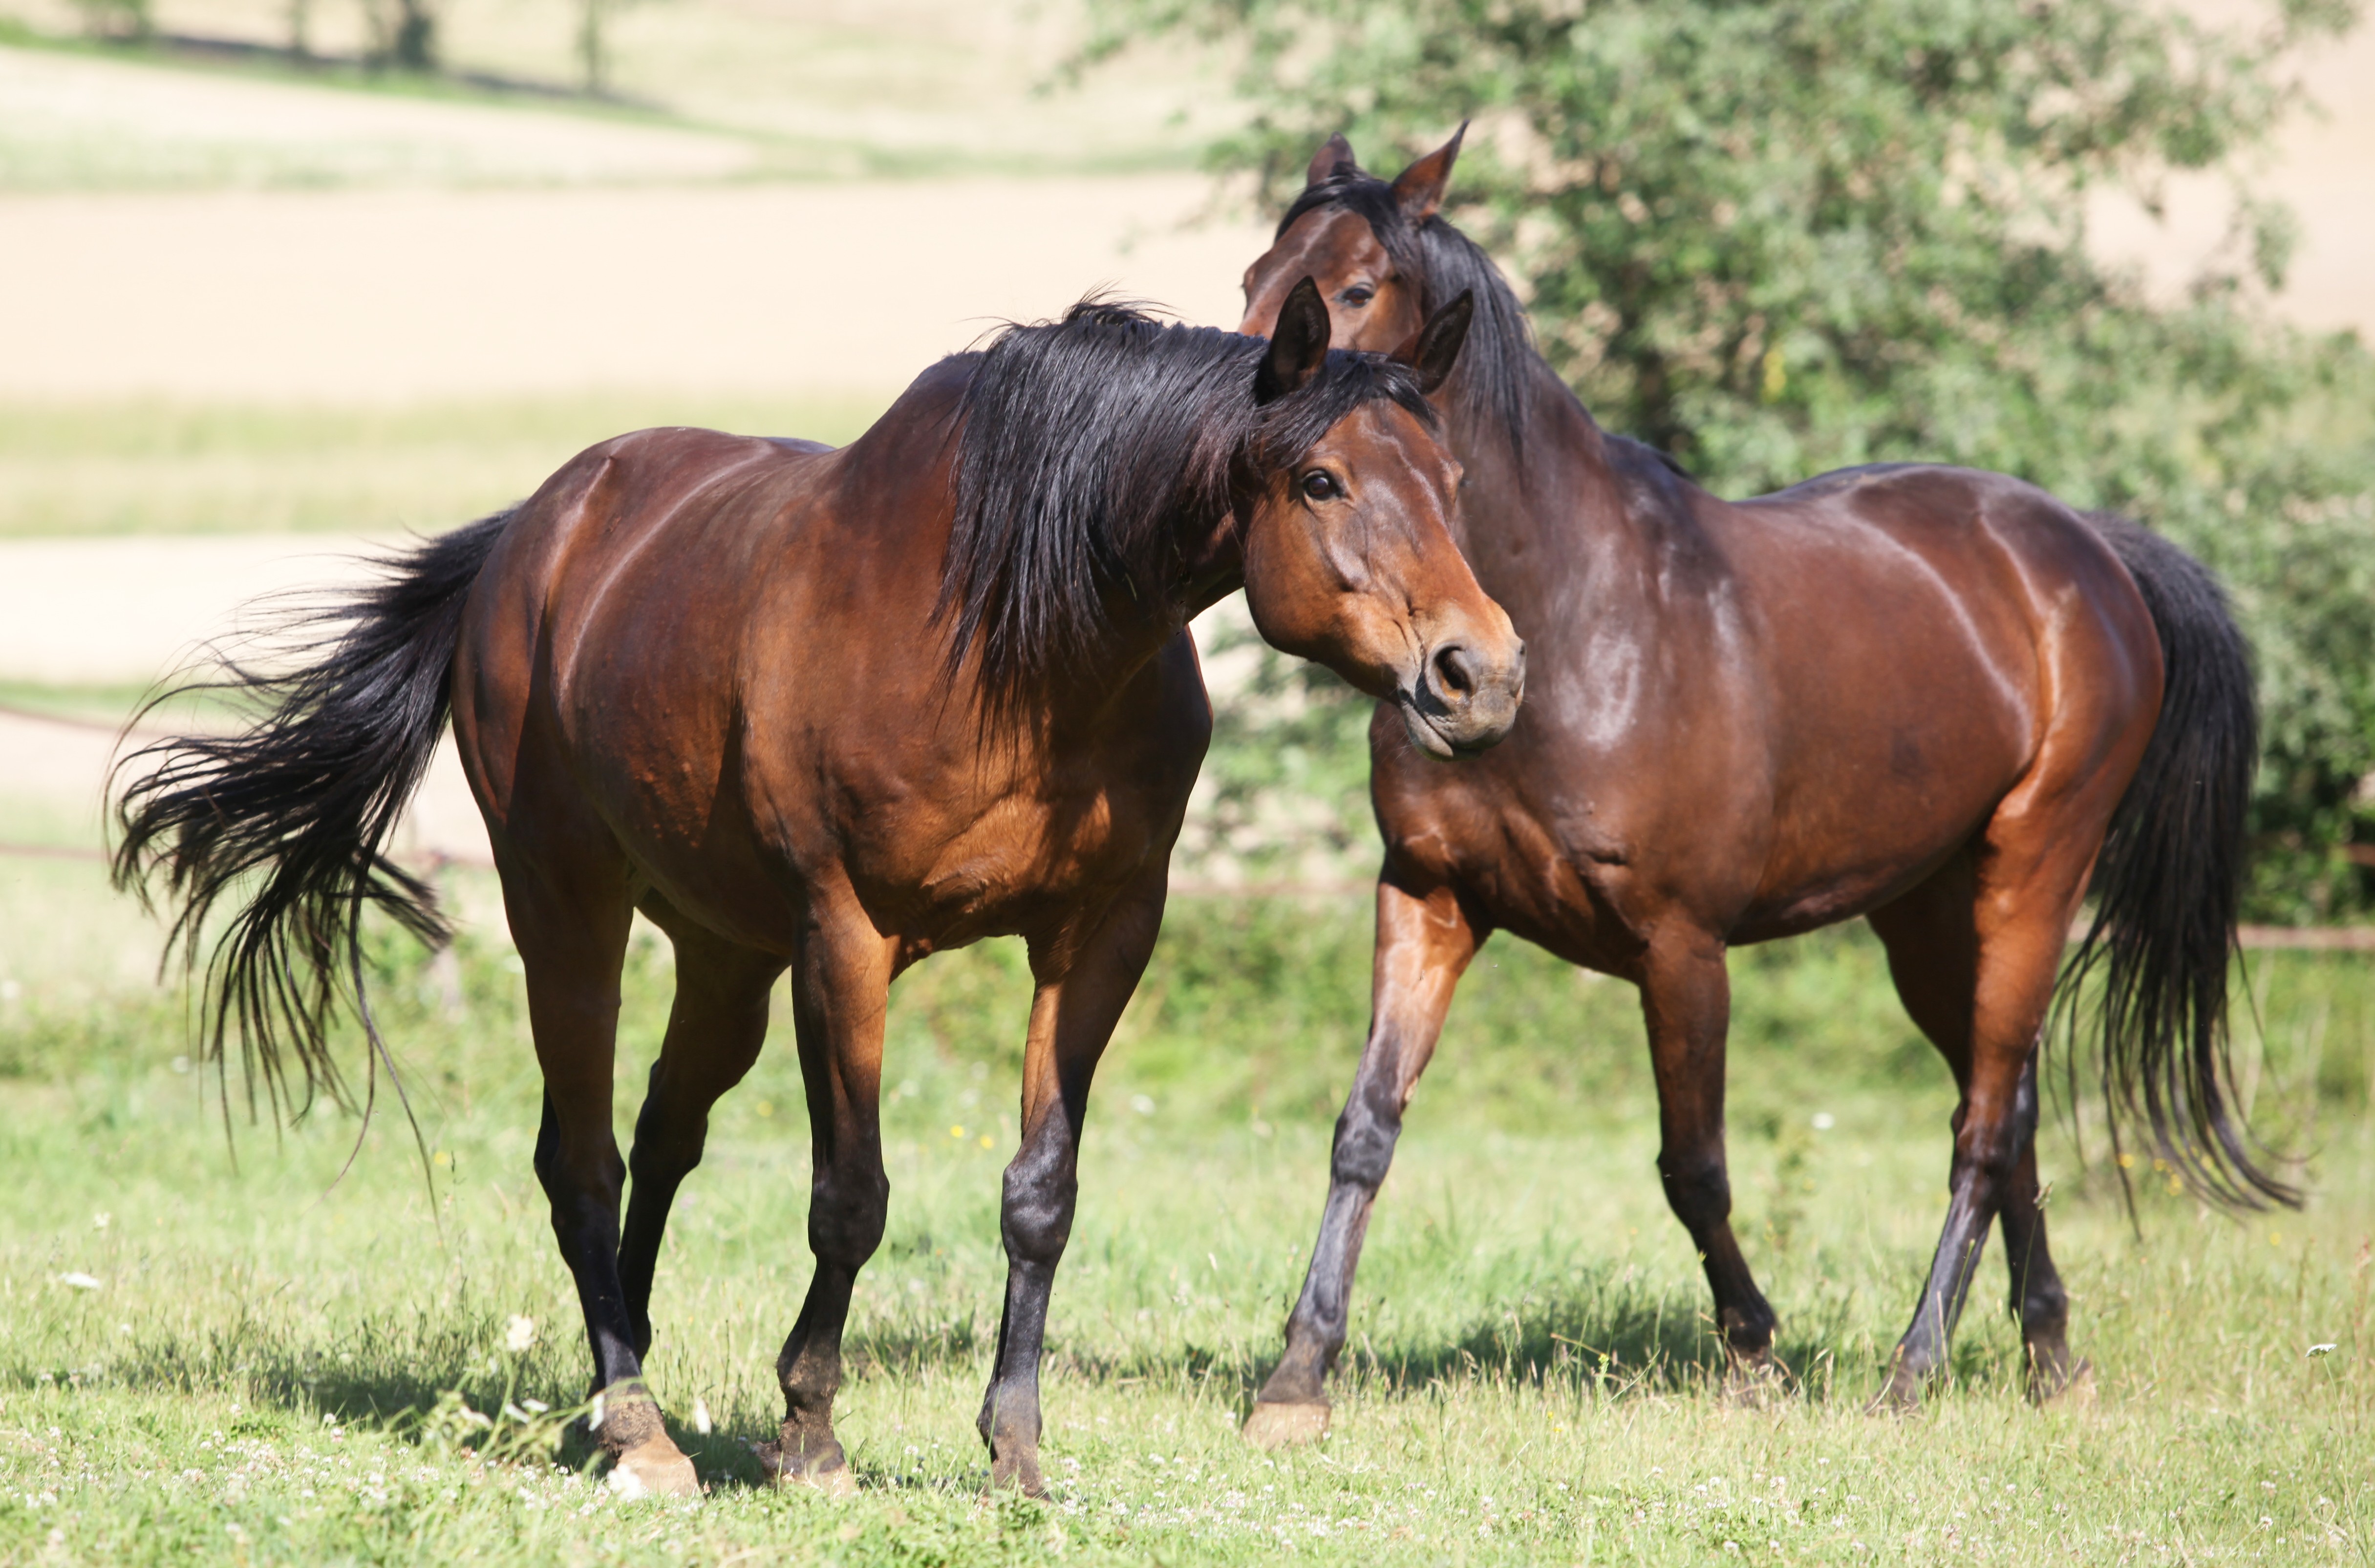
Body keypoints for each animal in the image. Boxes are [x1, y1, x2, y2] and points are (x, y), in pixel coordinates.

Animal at [113, 284, 1525, 1499]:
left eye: (1453, 481)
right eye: (1319, 479)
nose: (1479, 673)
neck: (1020, 645)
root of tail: (532, 532)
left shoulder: (1099, 936)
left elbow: (1040, 1196)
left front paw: (1014, 1453)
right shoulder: (847, 936)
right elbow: (850, 1196)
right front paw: (809, 1432)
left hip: (726, 956)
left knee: (659, 1143)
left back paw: (609, 1396)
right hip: (565, 908)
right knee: (583, 1157)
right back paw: (640, 1429)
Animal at [1230, 129, 2292, 1443]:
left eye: (1357, 285)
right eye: (1254, 275)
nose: (1248, 422)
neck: (1575, 619)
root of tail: (2088, 551)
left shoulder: (1681, 945)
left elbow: (1693, 1165)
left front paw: (1753, 1351)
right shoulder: (1428, 900)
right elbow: (1365, 1129)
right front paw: (1297, 1376)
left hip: (2034, 875)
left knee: (1984, 1122)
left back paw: (1914, 1365)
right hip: (1926, 913)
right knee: (2013, 1103)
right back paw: (2049, 1352)